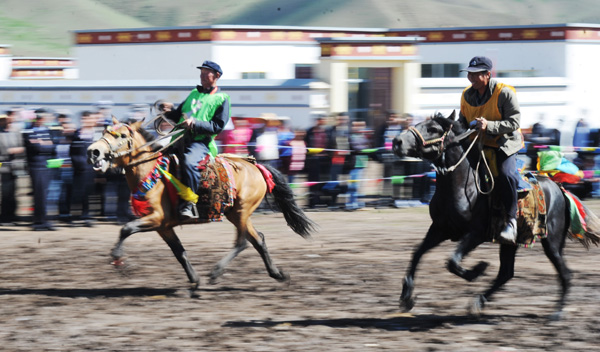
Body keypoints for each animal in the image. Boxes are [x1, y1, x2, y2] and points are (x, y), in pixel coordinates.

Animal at [86, 117, 316, 292]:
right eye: (105, 131)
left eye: (122, 136)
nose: (93, 151)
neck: (152, 172)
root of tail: (256, 166)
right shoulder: (163, 227)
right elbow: (179, 252)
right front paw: (194, 280)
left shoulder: (156, 218)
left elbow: (126, 228)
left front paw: (118, 259)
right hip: (235, 213)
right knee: (258, 240)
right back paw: (278, 275)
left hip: (241, 211)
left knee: (242, 242)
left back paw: (216, 272)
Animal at [394, 112, 600, 320]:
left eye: (433, 129)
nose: (397, 141)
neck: (462, 186)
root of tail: (560, 189)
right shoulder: (439, 229)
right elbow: (418, 253)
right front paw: (407, 296)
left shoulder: (476, 234)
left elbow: (452, 261)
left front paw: (477, 270)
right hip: (511, 243)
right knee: (506, 273)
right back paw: (479, 302)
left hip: (552, 242)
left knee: (565, 273)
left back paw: (557, 312)